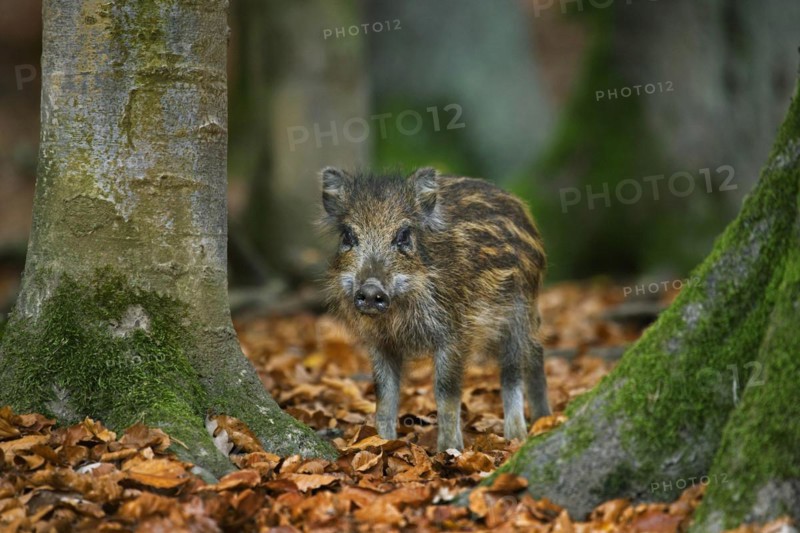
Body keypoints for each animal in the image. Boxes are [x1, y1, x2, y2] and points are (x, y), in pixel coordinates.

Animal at [320, 167, 551, 451]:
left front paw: (450, 450)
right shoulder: (381, 342)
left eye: (404, 235)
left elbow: (446, 393)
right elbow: (384, 394)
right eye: (347, 236)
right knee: (535, 352)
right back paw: (541, 420)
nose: (372, 290)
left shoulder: (455, 333)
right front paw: (382, 442)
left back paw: (517, 436)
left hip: (519, 311)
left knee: (514, 369)